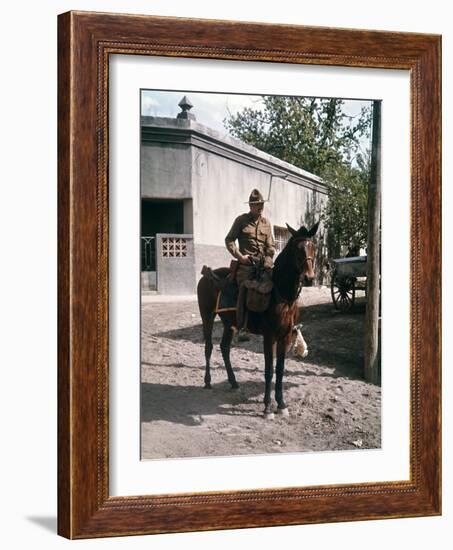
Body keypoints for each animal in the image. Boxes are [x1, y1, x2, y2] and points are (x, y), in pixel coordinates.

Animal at [197, 222, 318, 420]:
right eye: (297, 249)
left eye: (313, 247)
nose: (309, 278)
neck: (282, 295)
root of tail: (205, 276)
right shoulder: (269, 336)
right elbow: (269, 371)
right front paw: (268, 407)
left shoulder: (285, 337)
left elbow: (280, 370)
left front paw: (281, 404)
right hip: (207, 315)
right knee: (209, 347)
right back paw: (207, 382)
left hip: (229, 323)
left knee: (224, 347)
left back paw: (233, 381)